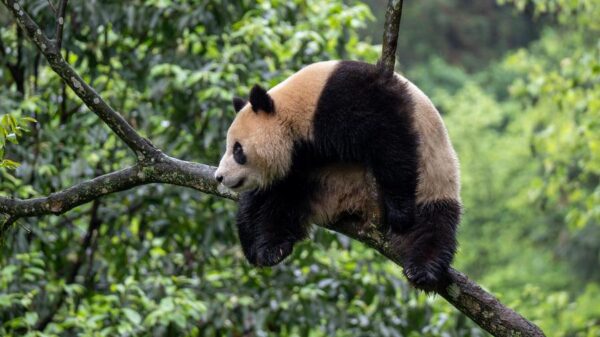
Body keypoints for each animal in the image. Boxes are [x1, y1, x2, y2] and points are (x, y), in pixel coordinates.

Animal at [216, 60, 464, 288]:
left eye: (237, 150)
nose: (219, 177)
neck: (296, 109)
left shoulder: (351, 98)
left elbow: (390, 140)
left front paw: (399, 212)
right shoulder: (300, 157)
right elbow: (267, 194)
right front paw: (257, 246)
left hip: (435, 182)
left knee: (432, 227)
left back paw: (422, 270)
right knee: (284, 203)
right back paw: (273, 248)